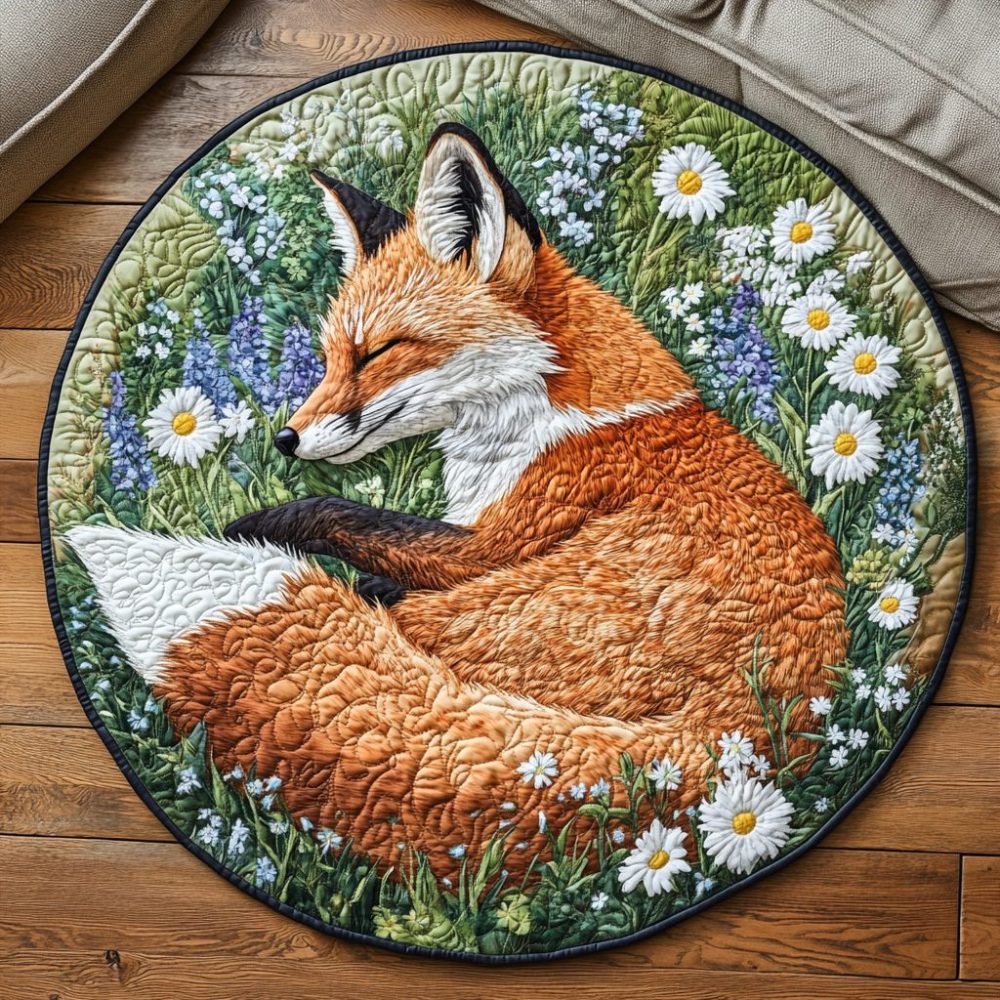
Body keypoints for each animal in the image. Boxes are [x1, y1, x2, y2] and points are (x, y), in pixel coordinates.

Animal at [67, 123, 848, 882]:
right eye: (330, 357)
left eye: (378, 352)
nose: (285, 439)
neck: (546, 416)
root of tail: (746, 739)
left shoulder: (492, 543)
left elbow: (341, 513)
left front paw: (255, 524)